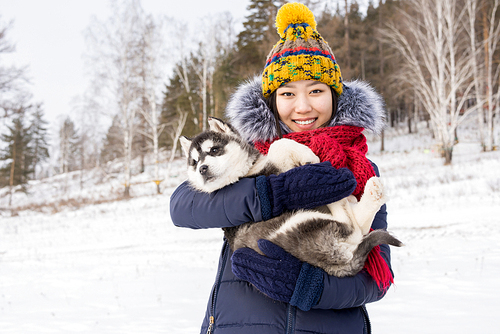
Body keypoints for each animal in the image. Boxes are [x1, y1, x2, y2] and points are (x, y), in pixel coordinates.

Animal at [180, 117, 402, 276]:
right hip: (296, 223)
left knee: (359, 225)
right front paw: (309, 157)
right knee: (353, 225)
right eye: (194, 162)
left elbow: (279, 144)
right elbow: (277, 145)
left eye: (214, 150)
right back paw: (348, 194)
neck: (243, 174)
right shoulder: (272, 173)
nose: (202, 169)